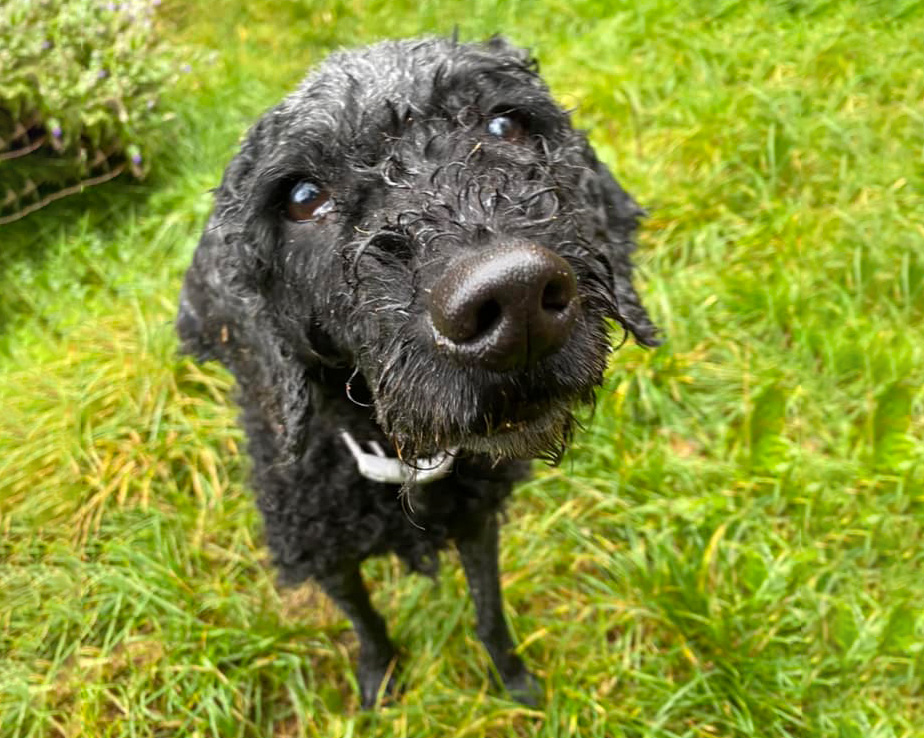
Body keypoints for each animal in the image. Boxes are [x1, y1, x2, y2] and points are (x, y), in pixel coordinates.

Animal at [179, 36, 656, 708]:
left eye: (505, 124)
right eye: (301, 197)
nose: (513, 296)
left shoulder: (477, 521)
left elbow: (490, 614)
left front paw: (514, 681)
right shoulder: (329, 558)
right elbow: (367, 623)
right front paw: (379, 680)